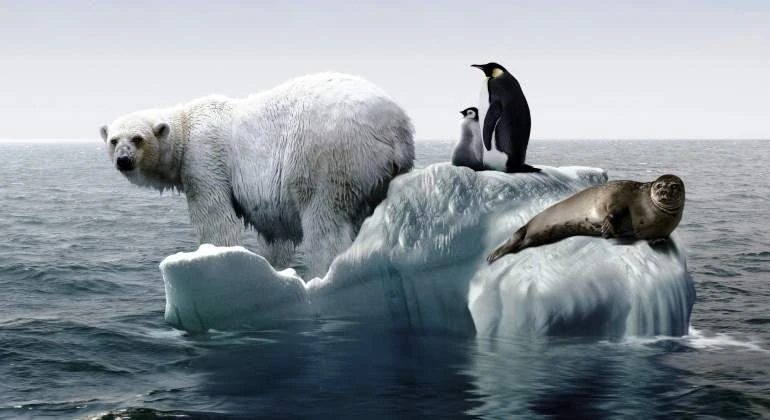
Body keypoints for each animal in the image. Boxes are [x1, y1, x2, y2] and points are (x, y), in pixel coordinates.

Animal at [101, 72, 415, 279]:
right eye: (114, 140)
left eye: (138, 138)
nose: (124, 160)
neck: (186, 125)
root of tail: (394, 128)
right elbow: (275, 232)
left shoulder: (204, 156)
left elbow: (215, 217)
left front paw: (215, 256)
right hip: (380, 175)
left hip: (329, 155)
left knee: (324, 221)